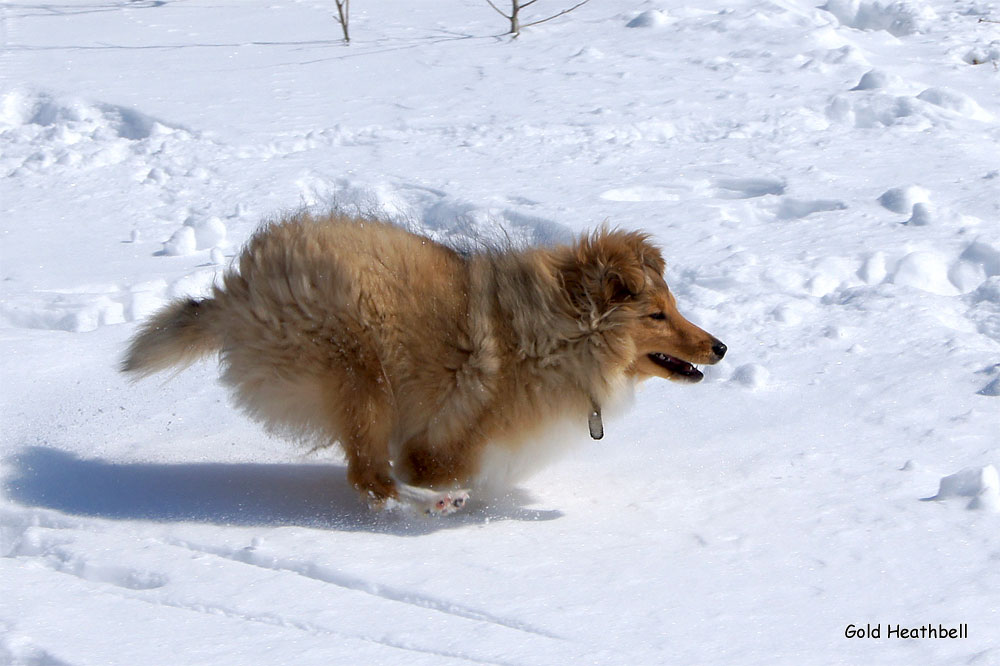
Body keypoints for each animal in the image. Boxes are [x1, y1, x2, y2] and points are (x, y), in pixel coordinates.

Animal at [123, 213, 728, 512]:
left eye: (674, 306)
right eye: (656, 314)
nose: (721, 348)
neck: (557, 335)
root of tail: (235, 291)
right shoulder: (440, 443)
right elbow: (435, 466)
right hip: (360, 376)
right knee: (371, 479)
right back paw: (434, 505)